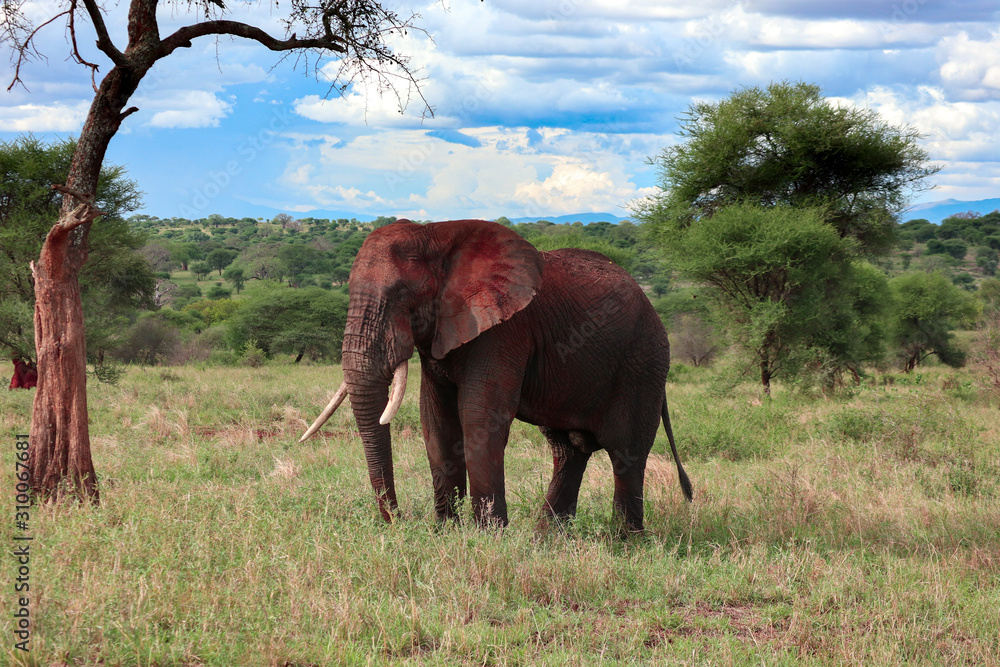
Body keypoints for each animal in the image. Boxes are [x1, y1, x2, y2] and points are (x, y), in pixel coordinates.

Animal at [300, 218, 692, 532]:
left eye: (401, 294)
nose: (398, 522)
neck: (436, 234)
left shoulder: (504, 330)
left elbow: (479, 416)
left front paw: (487, 537)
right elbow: (436, 422)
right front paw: (446, 533)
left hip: (644, 360)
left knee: (626, 452)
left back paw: (624, 542)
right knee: (569, 450)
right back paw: (546, 538)